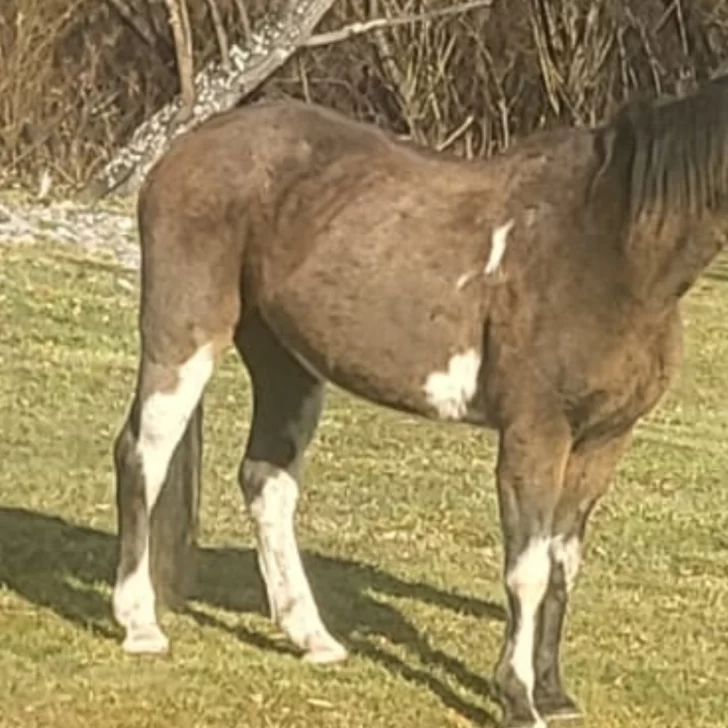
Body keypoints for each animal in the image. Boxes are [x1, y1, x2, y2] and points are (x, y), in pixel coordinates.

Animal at [110, 74, 728, 728]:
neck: (608, 242)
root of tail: (185, 148)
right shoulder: (535, 432)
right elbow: (528, 569)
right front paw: (517, 697)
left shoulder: (605, 439)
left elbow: (563, 564)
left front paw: (554, 693)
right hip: (185, 334)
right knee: (142, 456)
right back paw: (140, 625)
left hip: (289, 366)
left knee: (266, 481)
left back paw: (313, 638)